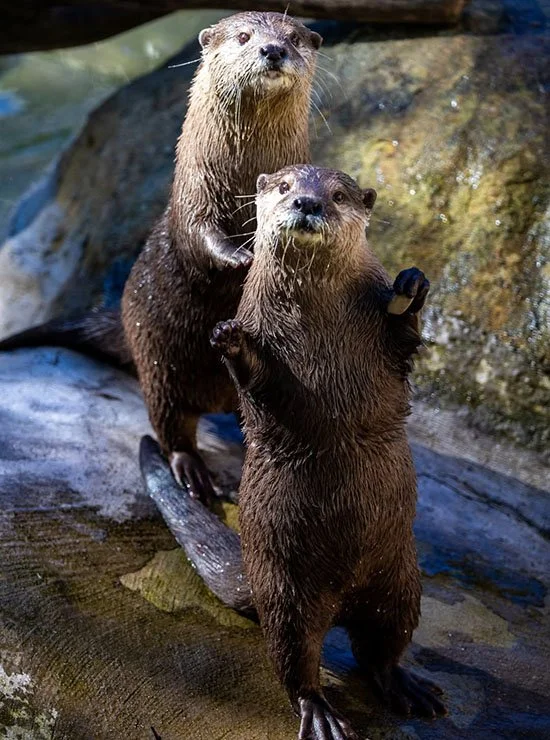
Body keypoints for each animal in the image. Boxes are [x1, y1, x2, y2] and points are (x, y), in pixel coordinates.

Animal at [0, 12, 321, 500]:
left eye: (294, 37)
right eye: (244, 36)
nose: (273, 49)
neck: (242, 182)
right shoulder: (194, 195)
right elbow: (201, 235)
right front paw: (242, 257)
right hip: (158, 361)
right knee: (170, 426)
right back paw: (192, 474)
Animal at [141, 165, 443, 740]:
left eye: (339, 194)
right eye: (284, 188)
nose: (307, 202)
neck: (319, 320)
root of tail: (344, 598)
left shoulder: (388, 341)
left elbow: (405, 341)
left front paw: (413, 286)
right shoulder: (260, 331)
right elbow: (260, 385)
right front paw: (230, 339)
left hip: (402, 579)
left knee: (382, 648)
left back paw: (408, 689)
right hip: (287, 589)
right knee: (296, 660)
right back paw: (321, 713)